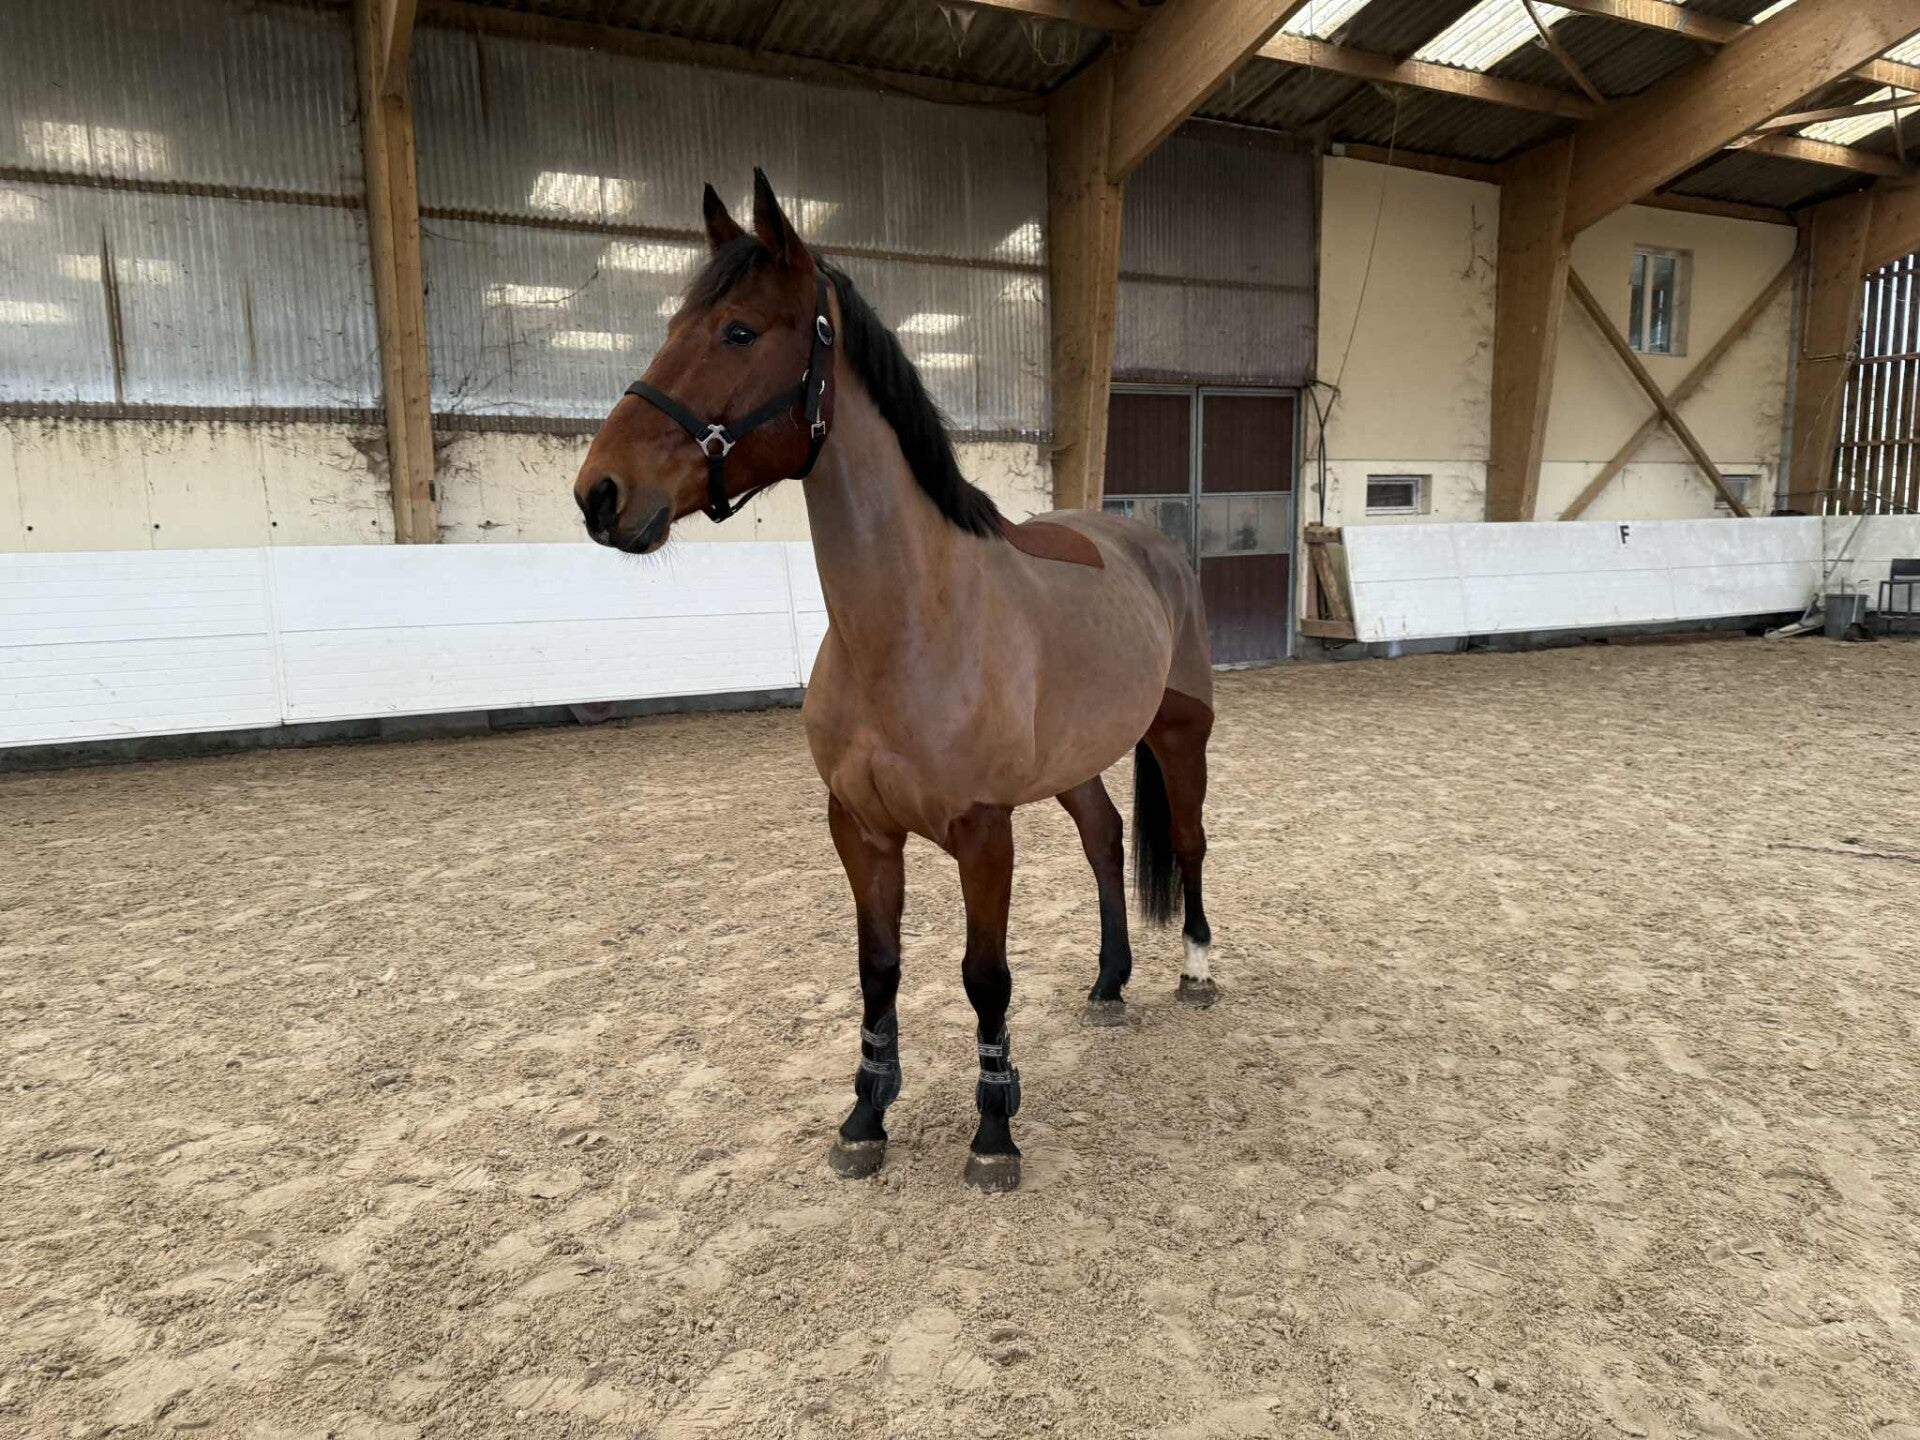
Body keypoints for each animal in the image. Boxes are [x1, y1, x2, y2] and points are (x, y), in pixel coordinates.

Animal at [574, 170, 1215, 1192]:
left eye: (739, 331)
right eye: (673, 323)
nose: (600, 494)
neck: (910, 626)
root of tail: (1148, 543)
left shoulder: (983, 832)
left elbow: (984, 977)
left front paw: (993, 1131)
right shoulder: (861, 829)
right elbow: (878, 968)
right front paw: (865, 1115)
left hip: (1181, 732)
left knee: (1187, 842)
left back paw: (1195, 971)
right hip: (1076, 762)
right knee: (1107, 840)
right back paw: (1110, 983)